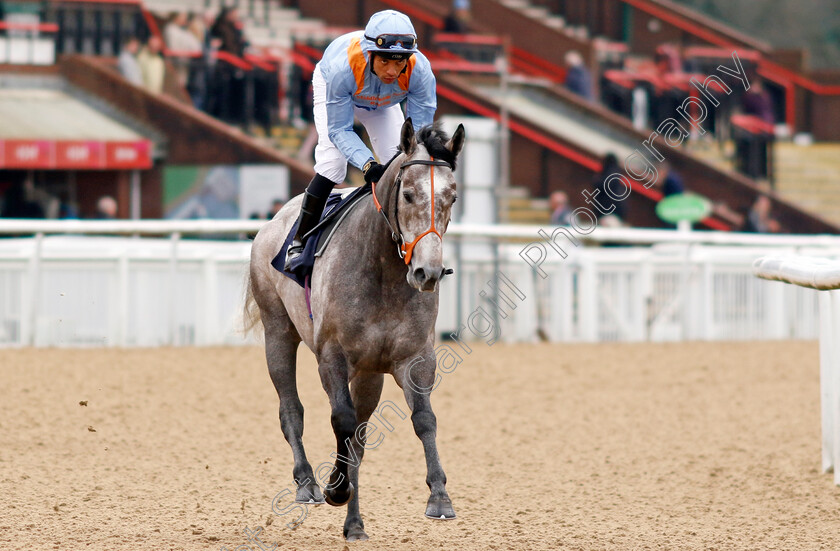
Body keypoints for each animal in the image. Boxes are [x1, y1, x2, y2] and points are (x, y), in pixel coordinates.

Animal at [243, 122, 466, 544]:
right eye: (408, 194)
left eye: (453, 196)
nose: (427, 272)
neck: (383, 271)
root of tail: (274, 220)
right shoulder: (332, 356)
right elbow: (342, 422)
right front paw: (336, 487)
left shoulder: (414, 358)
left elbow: (422, 420)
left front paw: (440, 497)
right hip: (277, 330)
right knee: (291, 409)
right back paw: (308, 483)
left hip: (369, 374)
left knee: (359, 438)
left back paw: (355, 523)